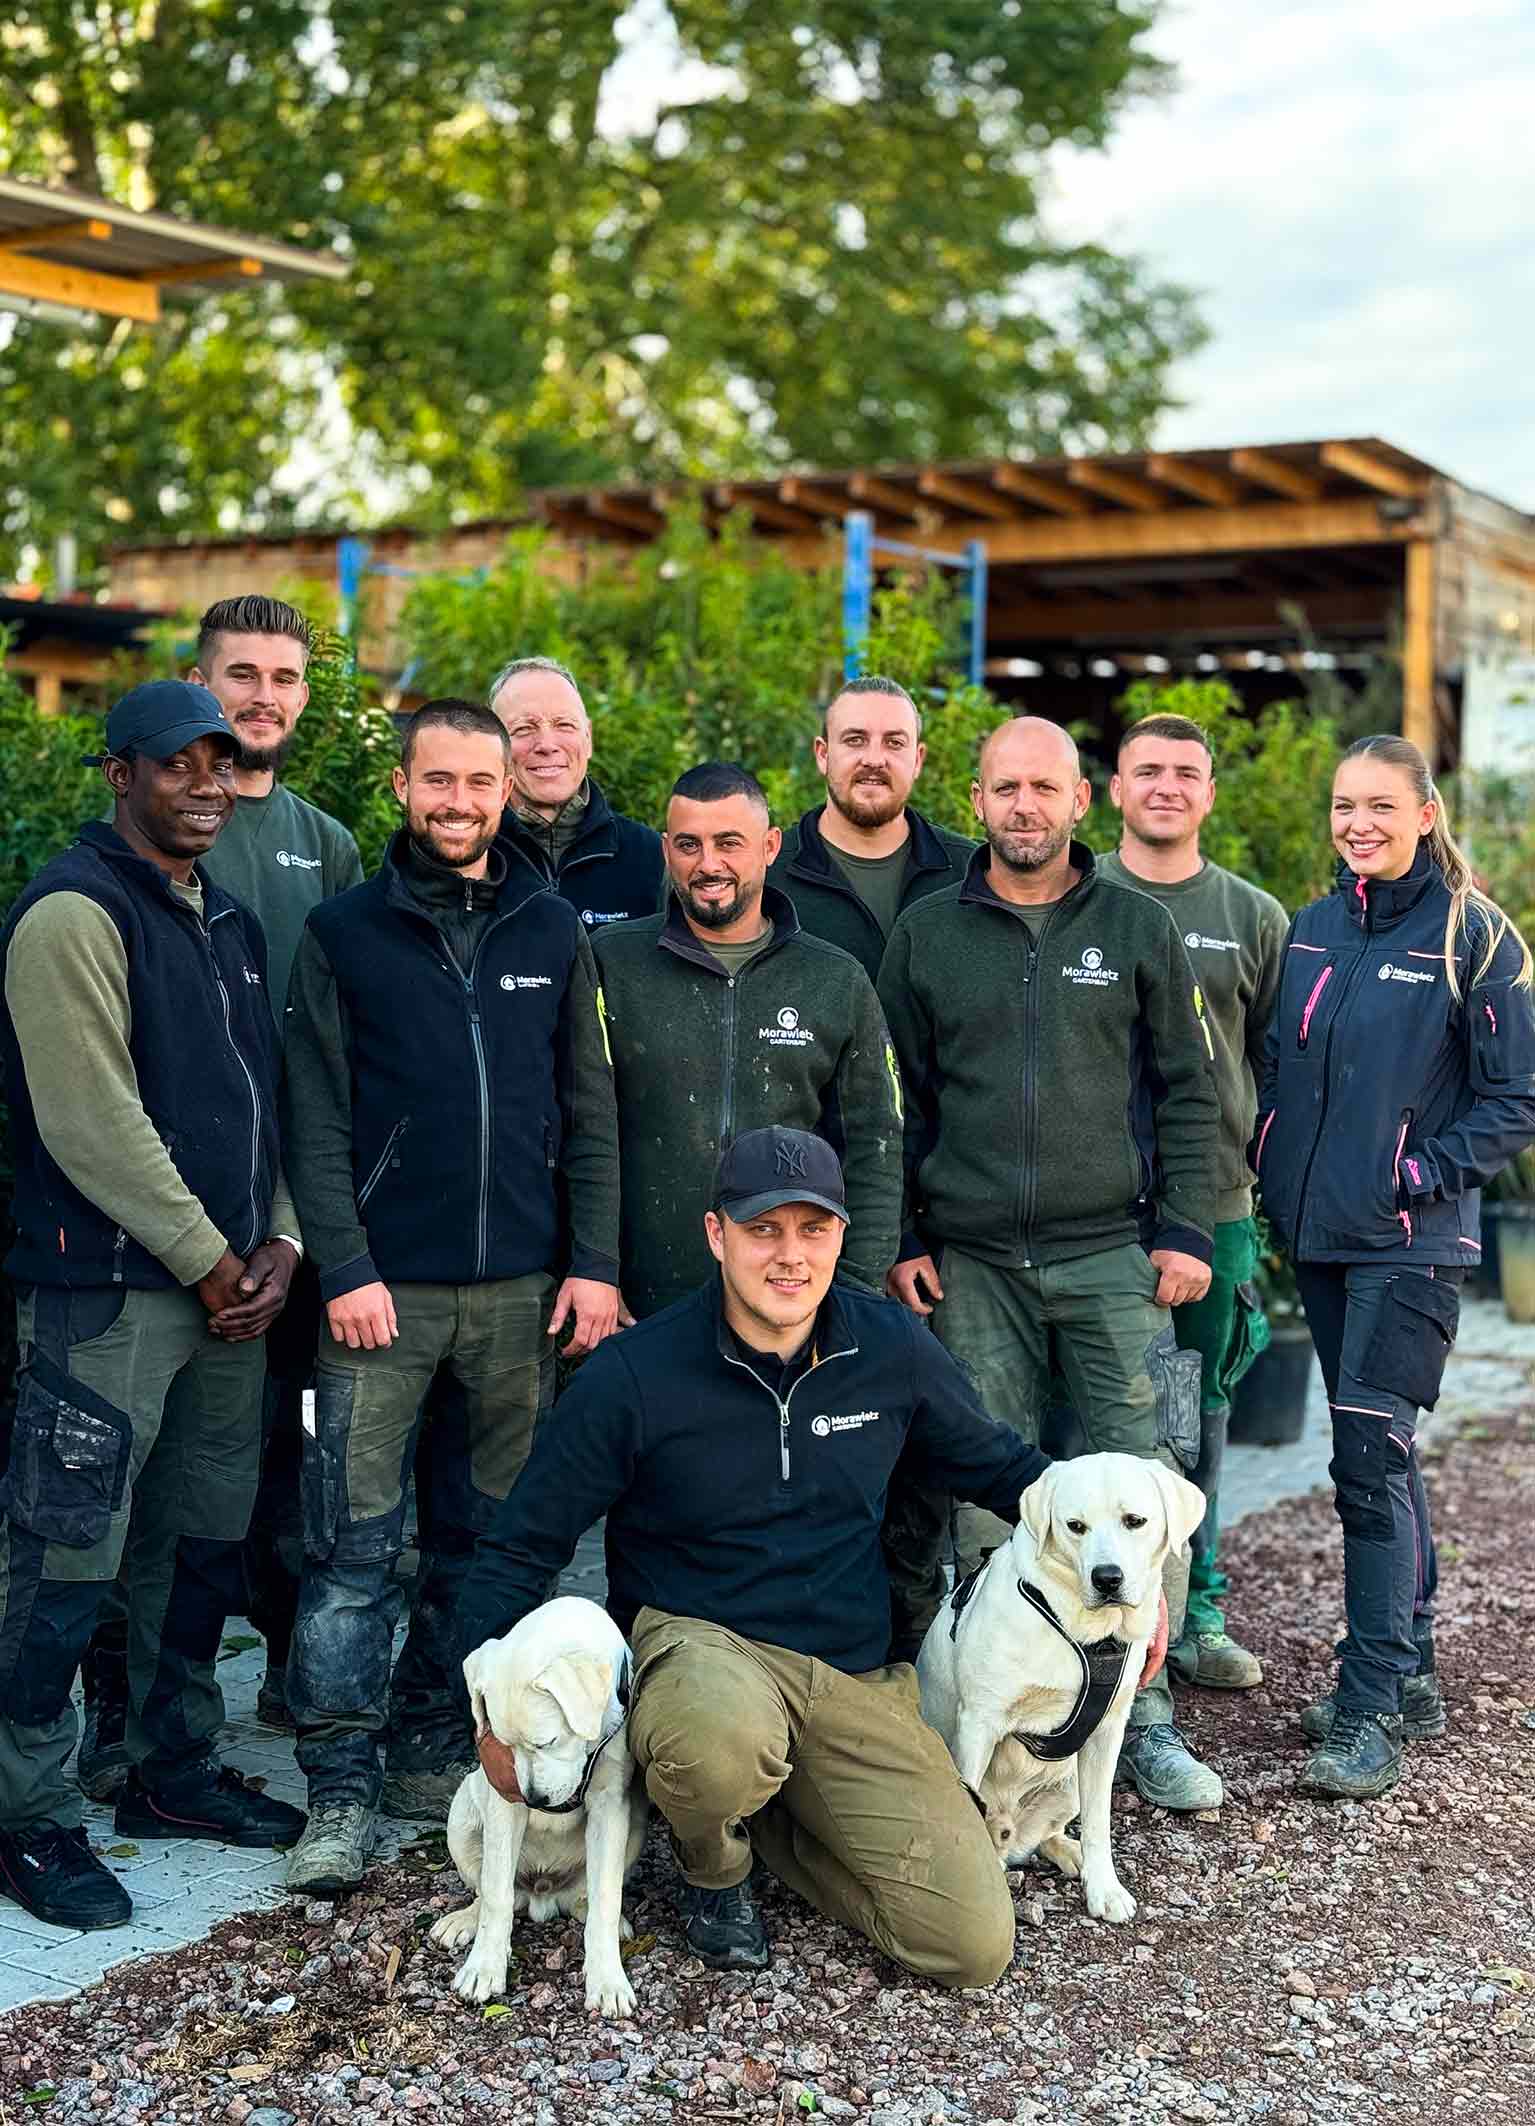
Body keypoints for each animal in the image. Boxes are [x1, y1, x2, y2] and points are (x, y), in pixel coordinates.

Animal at [427, 1598, 650, 2023]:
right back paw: (463, 1920)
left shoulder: (611, 1801)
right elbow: (496, 1894)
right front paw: (483, 1969)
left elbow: (606, 1896)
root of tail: (543, 1895)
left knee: (587, 1897)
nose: (535, 1801)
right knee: (491, 1892)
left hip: (635, 1827)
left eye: (547, 1741)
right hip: (462, 1816)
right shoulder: (503, 1798)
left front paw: (607, 1979)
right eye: (504, 1742)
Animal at [914, 1462, 1199, 1930]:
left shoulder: (1107, 1733)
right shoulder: (978, 1724)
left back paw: (1070, 1852)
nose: (1107, 1578)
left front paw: (1104, 1889)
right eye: (1075, 1526)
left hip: (1069, 1786)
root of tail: (1010, 1832)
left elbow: (1100, 1825)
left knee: (1049, 1835)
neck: (1086, 1633)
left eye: (1135, 1521)